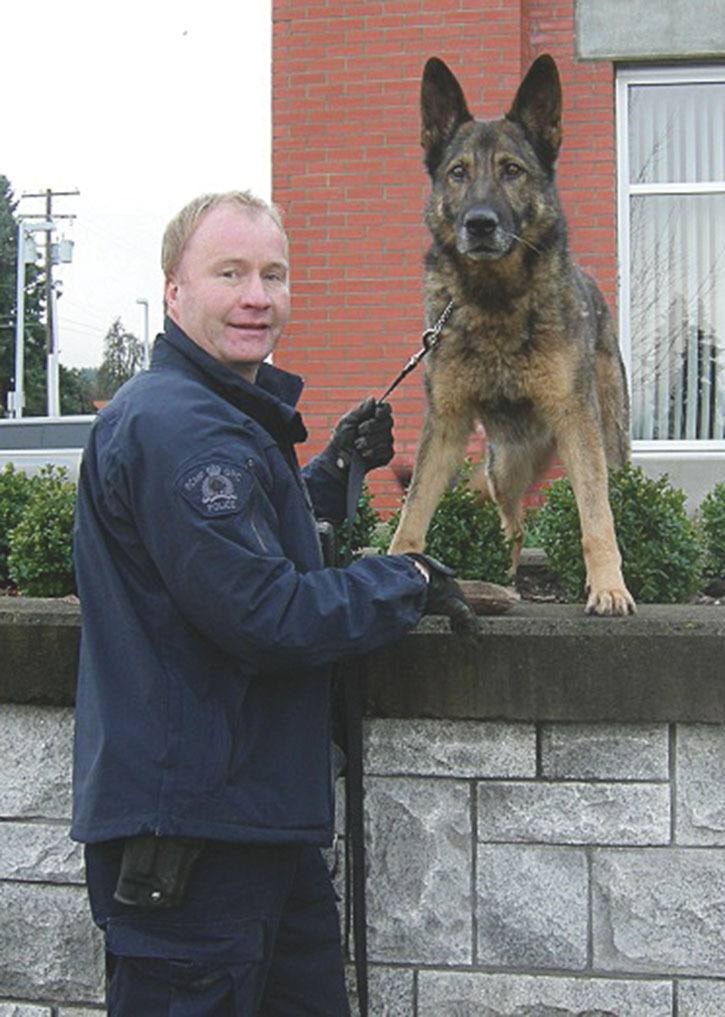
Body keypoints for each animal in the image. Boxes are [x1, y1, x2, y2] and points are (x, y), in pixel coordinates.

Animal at [388, 55, 630, 614]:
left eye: (512, 171)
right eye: (458, 173)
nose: (479, 223)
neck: (495, 299)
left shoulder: (578, 423)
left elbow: (596, 516)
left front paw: (608, 586)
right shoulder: (446, 424)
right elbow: (414, 511)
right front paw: (394, 564)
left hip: (607, 444)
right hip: (504, 471)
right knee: (513, 526)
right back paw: (506, 579)